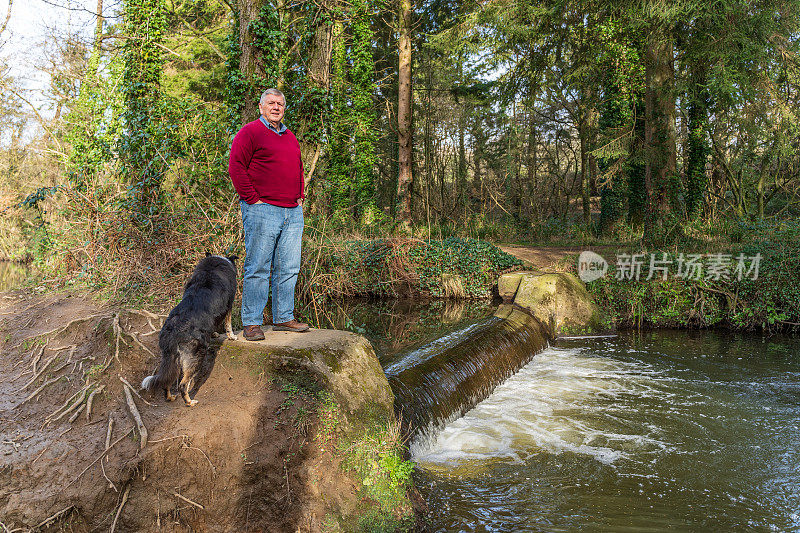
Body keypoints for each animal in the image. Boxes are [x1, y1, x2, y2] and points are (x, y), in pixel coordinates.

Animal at [141, 252, 238, 404]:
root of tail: (173, 331)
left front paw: (215, 334)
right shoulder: (229, 305)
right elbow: (228, 324)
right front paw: (232, 336)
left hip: (172, 359)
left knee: (167, 380)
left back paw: (170, 397)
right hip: (196, 356)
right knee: (183, 384)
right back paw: (189, 402)